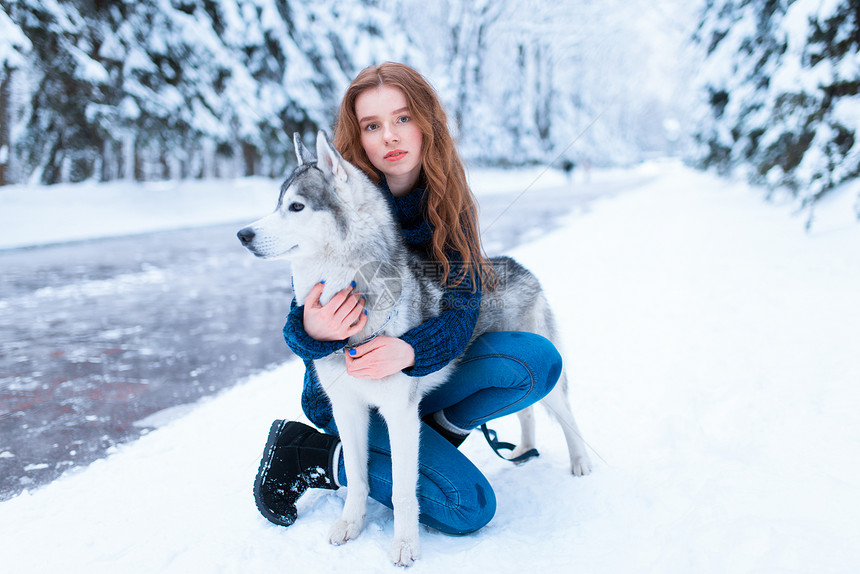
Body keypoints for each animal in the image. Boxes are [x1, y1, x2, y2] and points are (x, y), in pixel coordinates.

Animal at [237, 130, 592, 568]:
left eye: (296, 206)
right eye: (277, 203)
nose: (243, 235)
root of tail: (516, 264)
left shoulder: (399, 415)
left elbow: (403, 491)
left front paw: (406, 545)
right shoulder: (347, 409)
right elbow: (357, 476)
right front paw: (350, 525)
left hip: (548, 368)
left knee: (566, 415)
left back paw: (580, 461)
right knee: (527, 414)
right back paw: (524, 449)